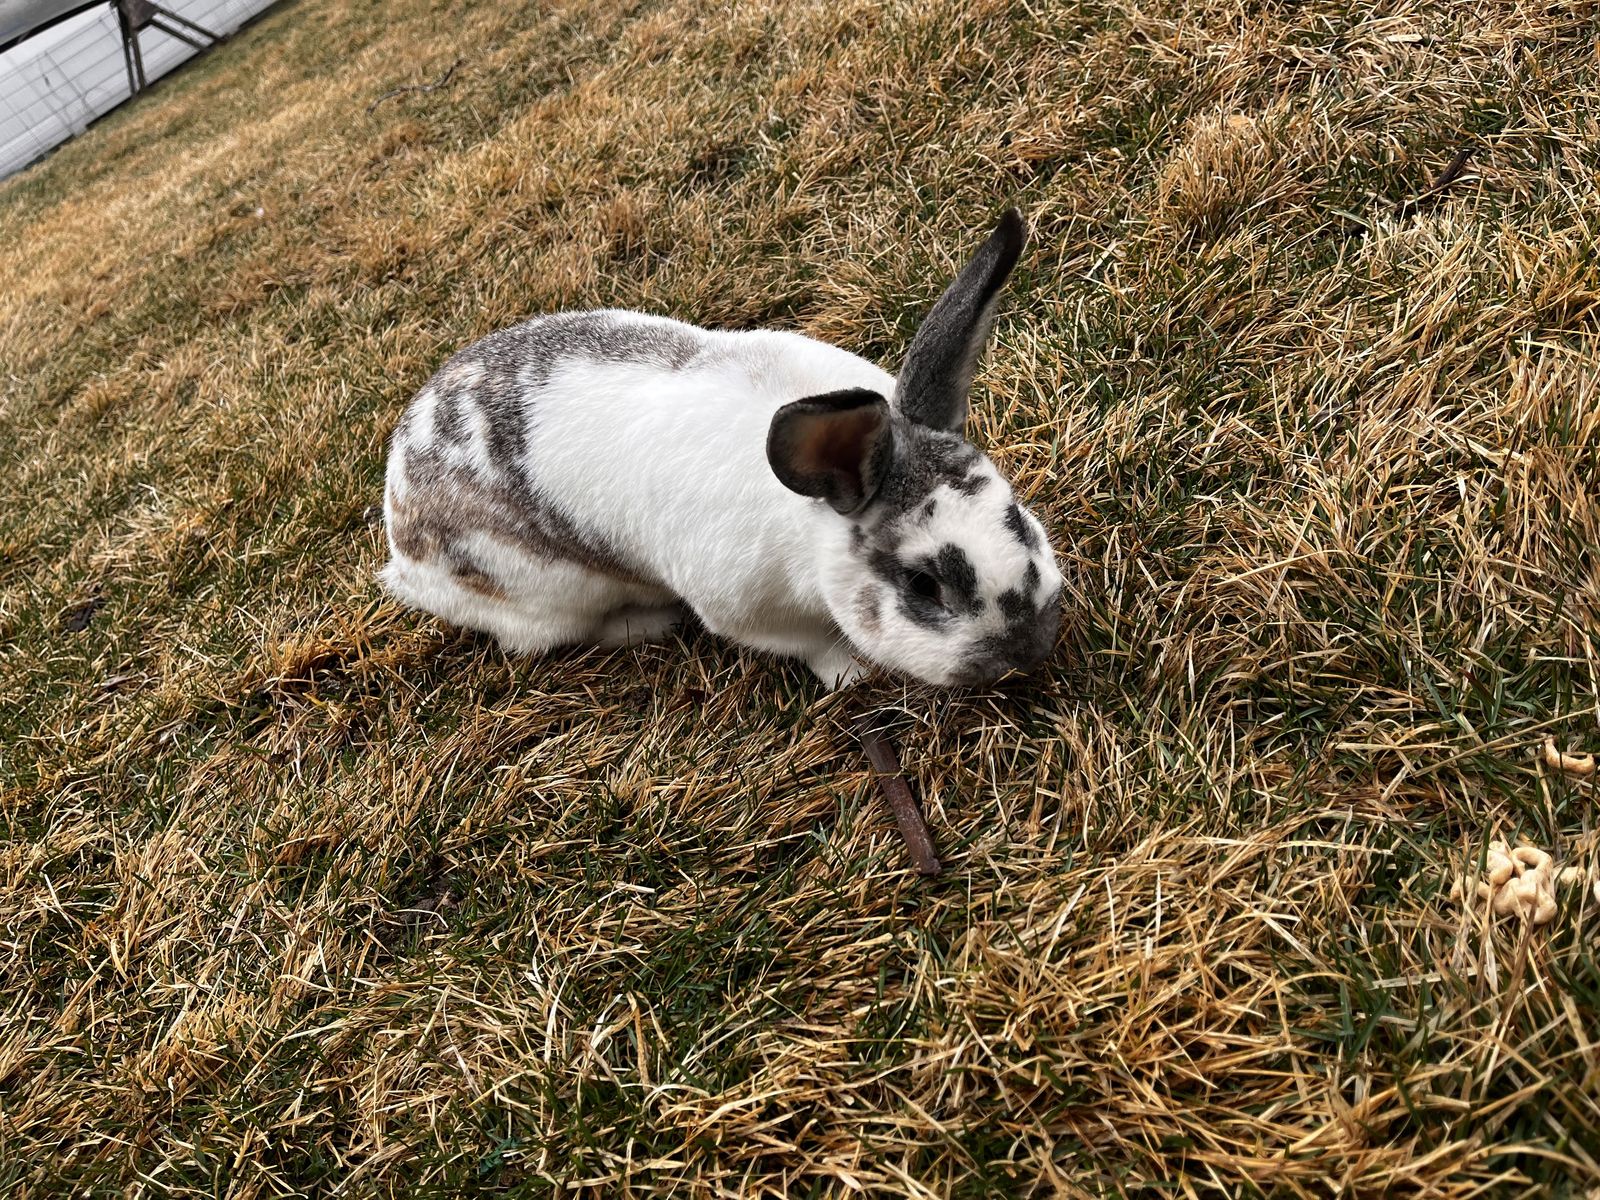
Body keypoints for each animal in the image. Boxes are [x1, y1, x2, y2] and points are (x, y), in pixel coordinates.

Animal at [380, 209, 1062, 688]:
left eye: (1015, 515)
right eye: (923, 585)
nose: (1029, 650)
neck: (809, 520)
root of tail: (401, 536)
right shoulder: (746, 615)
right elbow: (810, 646)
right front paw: (852, 673)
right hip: (548, 597)